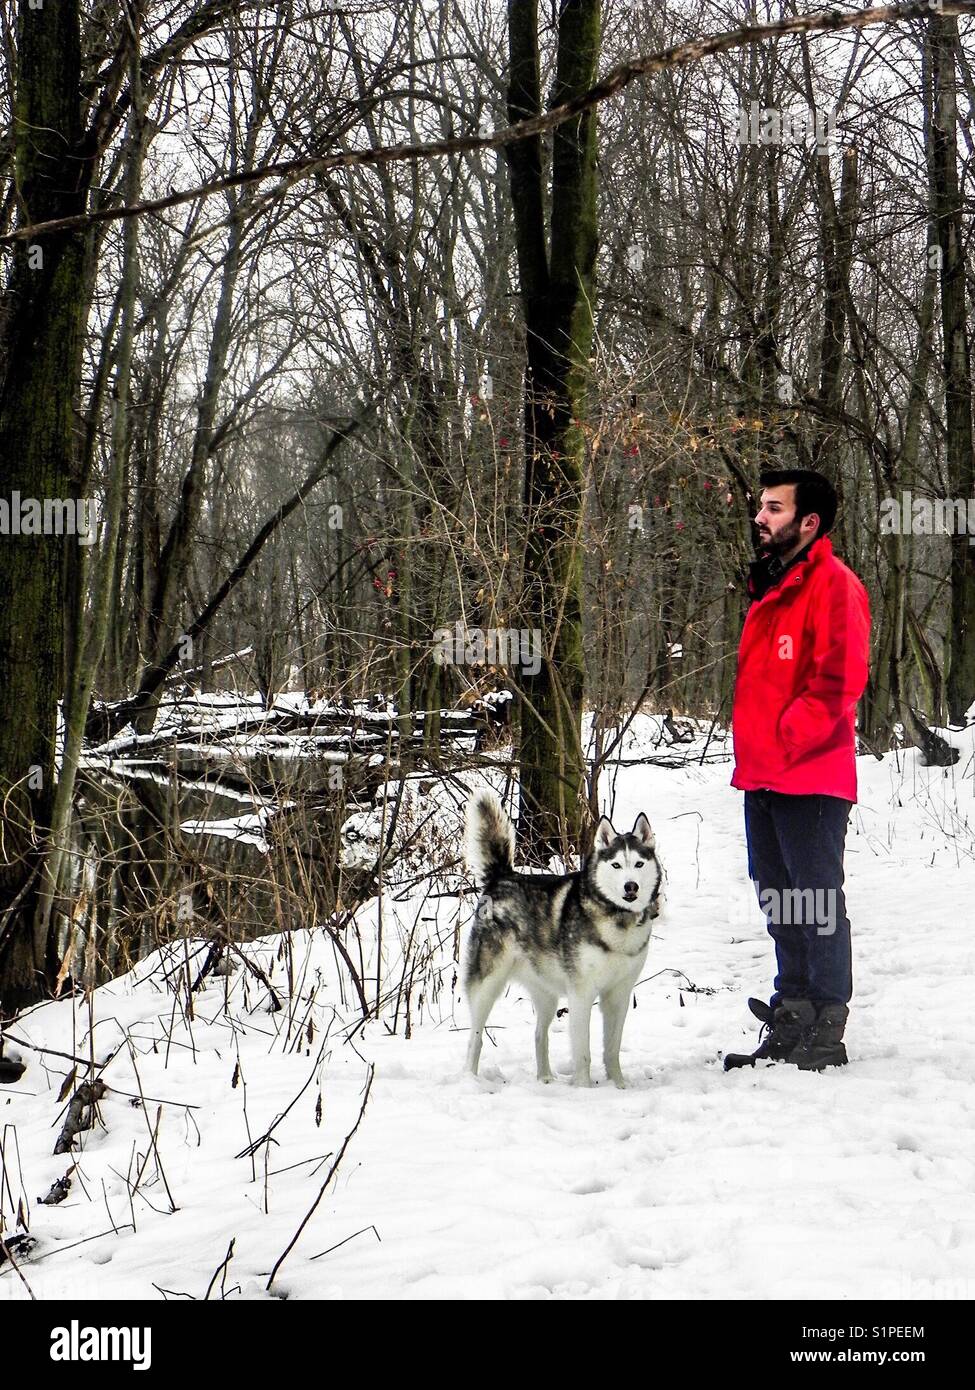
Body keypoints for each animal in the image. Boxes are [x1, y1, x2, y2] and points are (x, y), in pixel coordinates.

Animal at [461, 795, 662, 1084]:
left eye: (638, 864)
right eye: (616, 865)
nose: (630, 886)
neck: (618, 919)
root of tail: (503, 877)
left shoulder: (620, 994)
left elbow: (612, 1049)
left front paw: (618, 1085)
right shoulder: (582, 993)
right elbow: (583, 1053)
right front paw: (584, 1087)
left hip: (546, 994)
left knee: (538, 1034)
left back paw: (545, 1078)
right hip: (486, 984)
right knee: (475, 1038)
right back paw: (470, 1078)